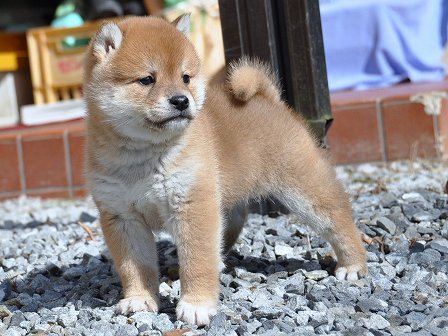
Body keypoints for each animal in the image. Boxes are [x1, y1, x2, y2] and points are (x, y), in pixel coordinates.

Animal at [85, 15, 368, 326]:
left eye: (185, 77)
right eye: (147, 79)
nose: (181, 100)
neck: (142, 156)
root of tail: (269, 99)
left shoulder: (192, 205)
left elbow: (196, 261)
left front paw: (196, 305)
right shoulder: (123, 217)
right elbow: (135, 267)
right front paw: (140, 299)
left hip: (304, 188)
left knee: (338, 218)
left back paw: (353, 264)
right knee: (233, 220)